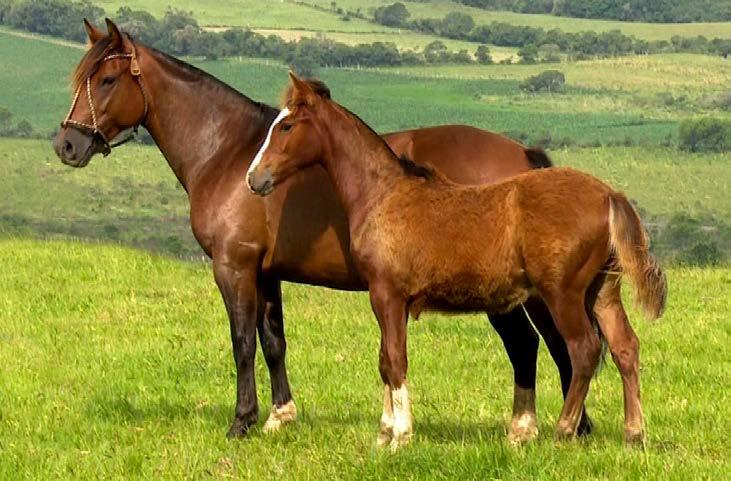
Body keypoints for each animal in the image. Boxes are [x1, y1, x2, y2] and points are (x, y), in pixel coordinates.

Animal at [51, 19, 588, 442]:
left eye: (107, 78)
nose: (67, 145)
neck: (227, 152)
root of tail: (522, 156)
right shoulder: (266, 273)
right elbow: (273, 342)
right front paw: (279, 417)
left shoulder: (234, 266)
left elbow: (242, 342)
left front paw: (241, 422)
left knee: (534, 343)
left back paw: (542, 428)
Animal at [247, 73, 668, 448]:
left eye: (286, 126)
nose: (255, 178)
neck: (383, 193)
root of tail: (609, 195)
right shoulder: (393, 300)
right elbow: (385, 360)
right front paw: (384, 433)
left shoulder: (386, 293)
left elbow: (394, 361)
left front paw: (400, 436)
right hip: (602, 291)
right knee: (625, 347)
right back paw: (634, 435)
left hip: (562, 294)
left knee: (582, 350)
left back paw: (563, 431)